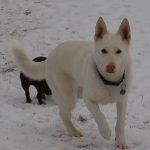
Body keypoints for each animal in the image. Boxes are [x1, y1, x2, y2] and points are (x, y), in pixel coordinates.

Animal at [13, 17, 132, 149]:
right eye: (103, 51)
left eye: (119, 51)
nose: (110, 67)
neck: (109, 81)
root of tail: (50, 57)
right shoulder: (88, 99)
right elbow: (99, 115)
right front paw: (105, 131)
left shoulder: (122, 101)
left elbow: (120, 123)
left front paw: (120, 141)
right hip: (69, 96)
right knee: (62, 113)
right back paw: (73, 131)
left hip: (75, 93)